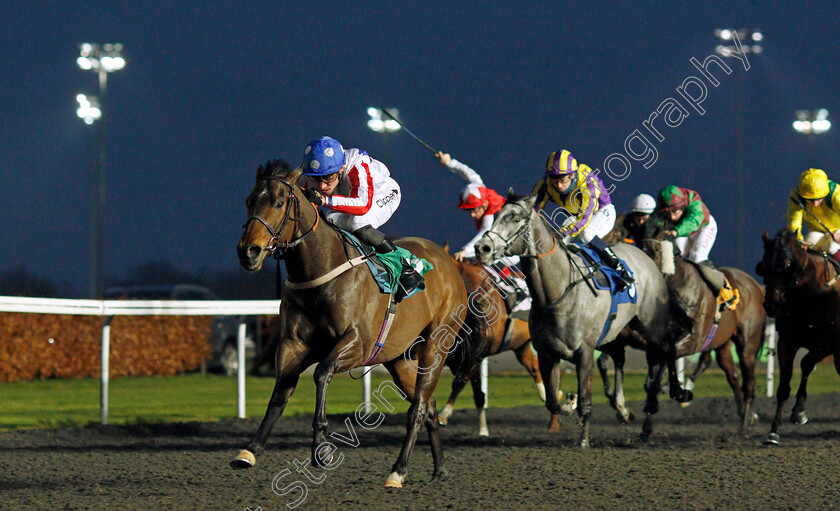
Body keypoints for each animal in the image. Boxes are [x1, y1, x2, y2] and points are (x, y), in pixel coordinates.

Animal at [235, 160, 486, 488]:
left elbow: (322, 373)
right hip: (399, 358)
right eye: (249, 201)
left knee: (418, 407)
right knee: (429, 408)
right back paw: (439, 469)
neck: (320, 271)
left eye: (278, 202)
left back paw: (398, 471)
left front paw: (320, 448)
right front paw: (250, 450)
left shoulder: (357, 344)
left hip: (434, 346)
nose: (247, 251)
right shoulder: (292, 345)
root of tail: (451, 267)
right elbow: (280, 393)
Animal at [476, 196, 692, 448]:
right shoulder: (547, 354)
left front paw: (584, 441)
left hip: (650, 323)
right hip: (616, 331)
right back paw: (623, 410)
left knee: (667, 346)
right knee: (619, 357)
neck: (556, 294)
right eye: (495, 216)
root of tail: (642, 254)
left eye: (516, 218)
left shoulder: (584, 352)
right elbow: (553, 402)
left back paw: (679, 393)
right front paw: (570, 402)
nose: (482, 248)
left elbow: (586, 400)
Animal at [640, 216, 764, 436]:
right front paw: (649, 416)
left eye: (655, 253)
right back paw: (745, 415)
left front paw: (677, 393)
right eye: (639, 249)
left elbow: (666, 357)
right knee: (733, 375)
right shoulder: (654, 342)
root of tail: (756, 286)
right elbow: (654, 372)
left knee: (749, 382)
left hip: (747, 343)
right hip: (722, 343)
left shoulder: (693, 340)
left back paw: (744, 424)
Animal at [756, 230, 840, 446]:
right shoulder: (786, 342)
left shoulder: (828, 343)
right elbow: (784, 386)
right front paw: (774, 431)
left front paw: (799, 411)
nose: (772, 305)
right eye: (763, 265)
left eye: (787, 265)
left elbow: (806, 362)